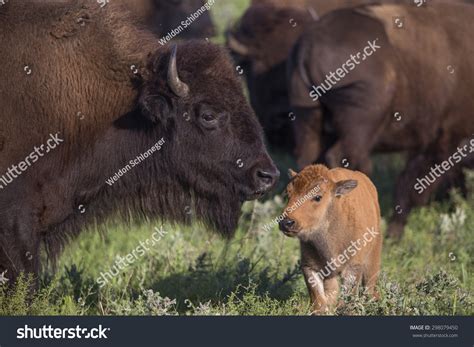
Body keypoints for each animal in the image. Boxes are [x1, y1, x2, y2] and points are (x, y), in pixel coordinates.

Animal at [280, 166, 384, 316]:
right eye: (288, 194)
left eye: (318, 197)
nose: (286, 222)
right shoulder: (310, 267)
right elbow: (319, 299)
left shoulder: (353, 268)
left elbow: (347, 298)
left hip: (372, 260)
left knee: (369, 289)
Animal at [286, 2, 474, 238]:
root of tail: (309, 44)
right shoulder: (444, 139)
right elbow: (413, 184)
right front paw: (395, 232)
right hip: (361, 125)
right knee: (345, 159)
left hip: (308, 118)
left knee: (309, 159)